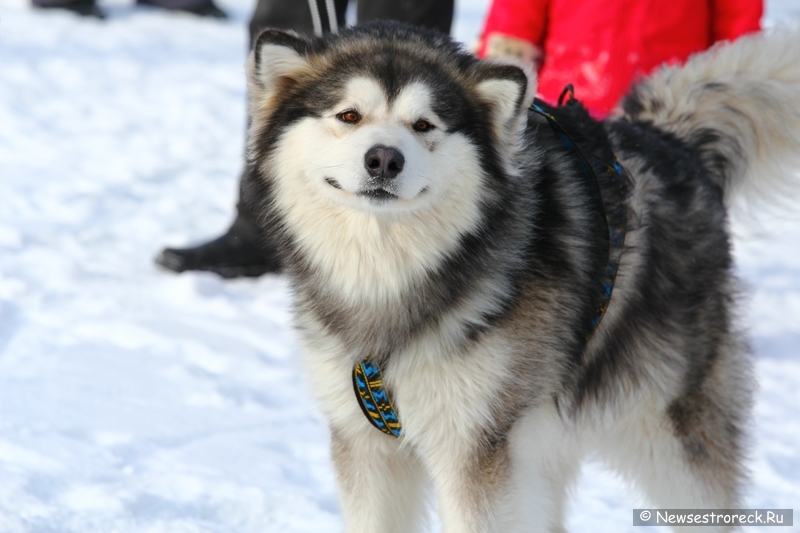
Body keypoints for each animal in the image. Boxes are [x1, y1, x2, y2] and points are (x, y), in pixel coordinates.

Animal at [241, 21, 800, 532]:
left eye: (424, 125)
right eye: (349, 116)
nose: (383, 159)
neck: (392, 277)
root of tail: (668, 139)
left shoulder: (475, 448)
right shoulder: (365, 446)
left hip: (668, 434)